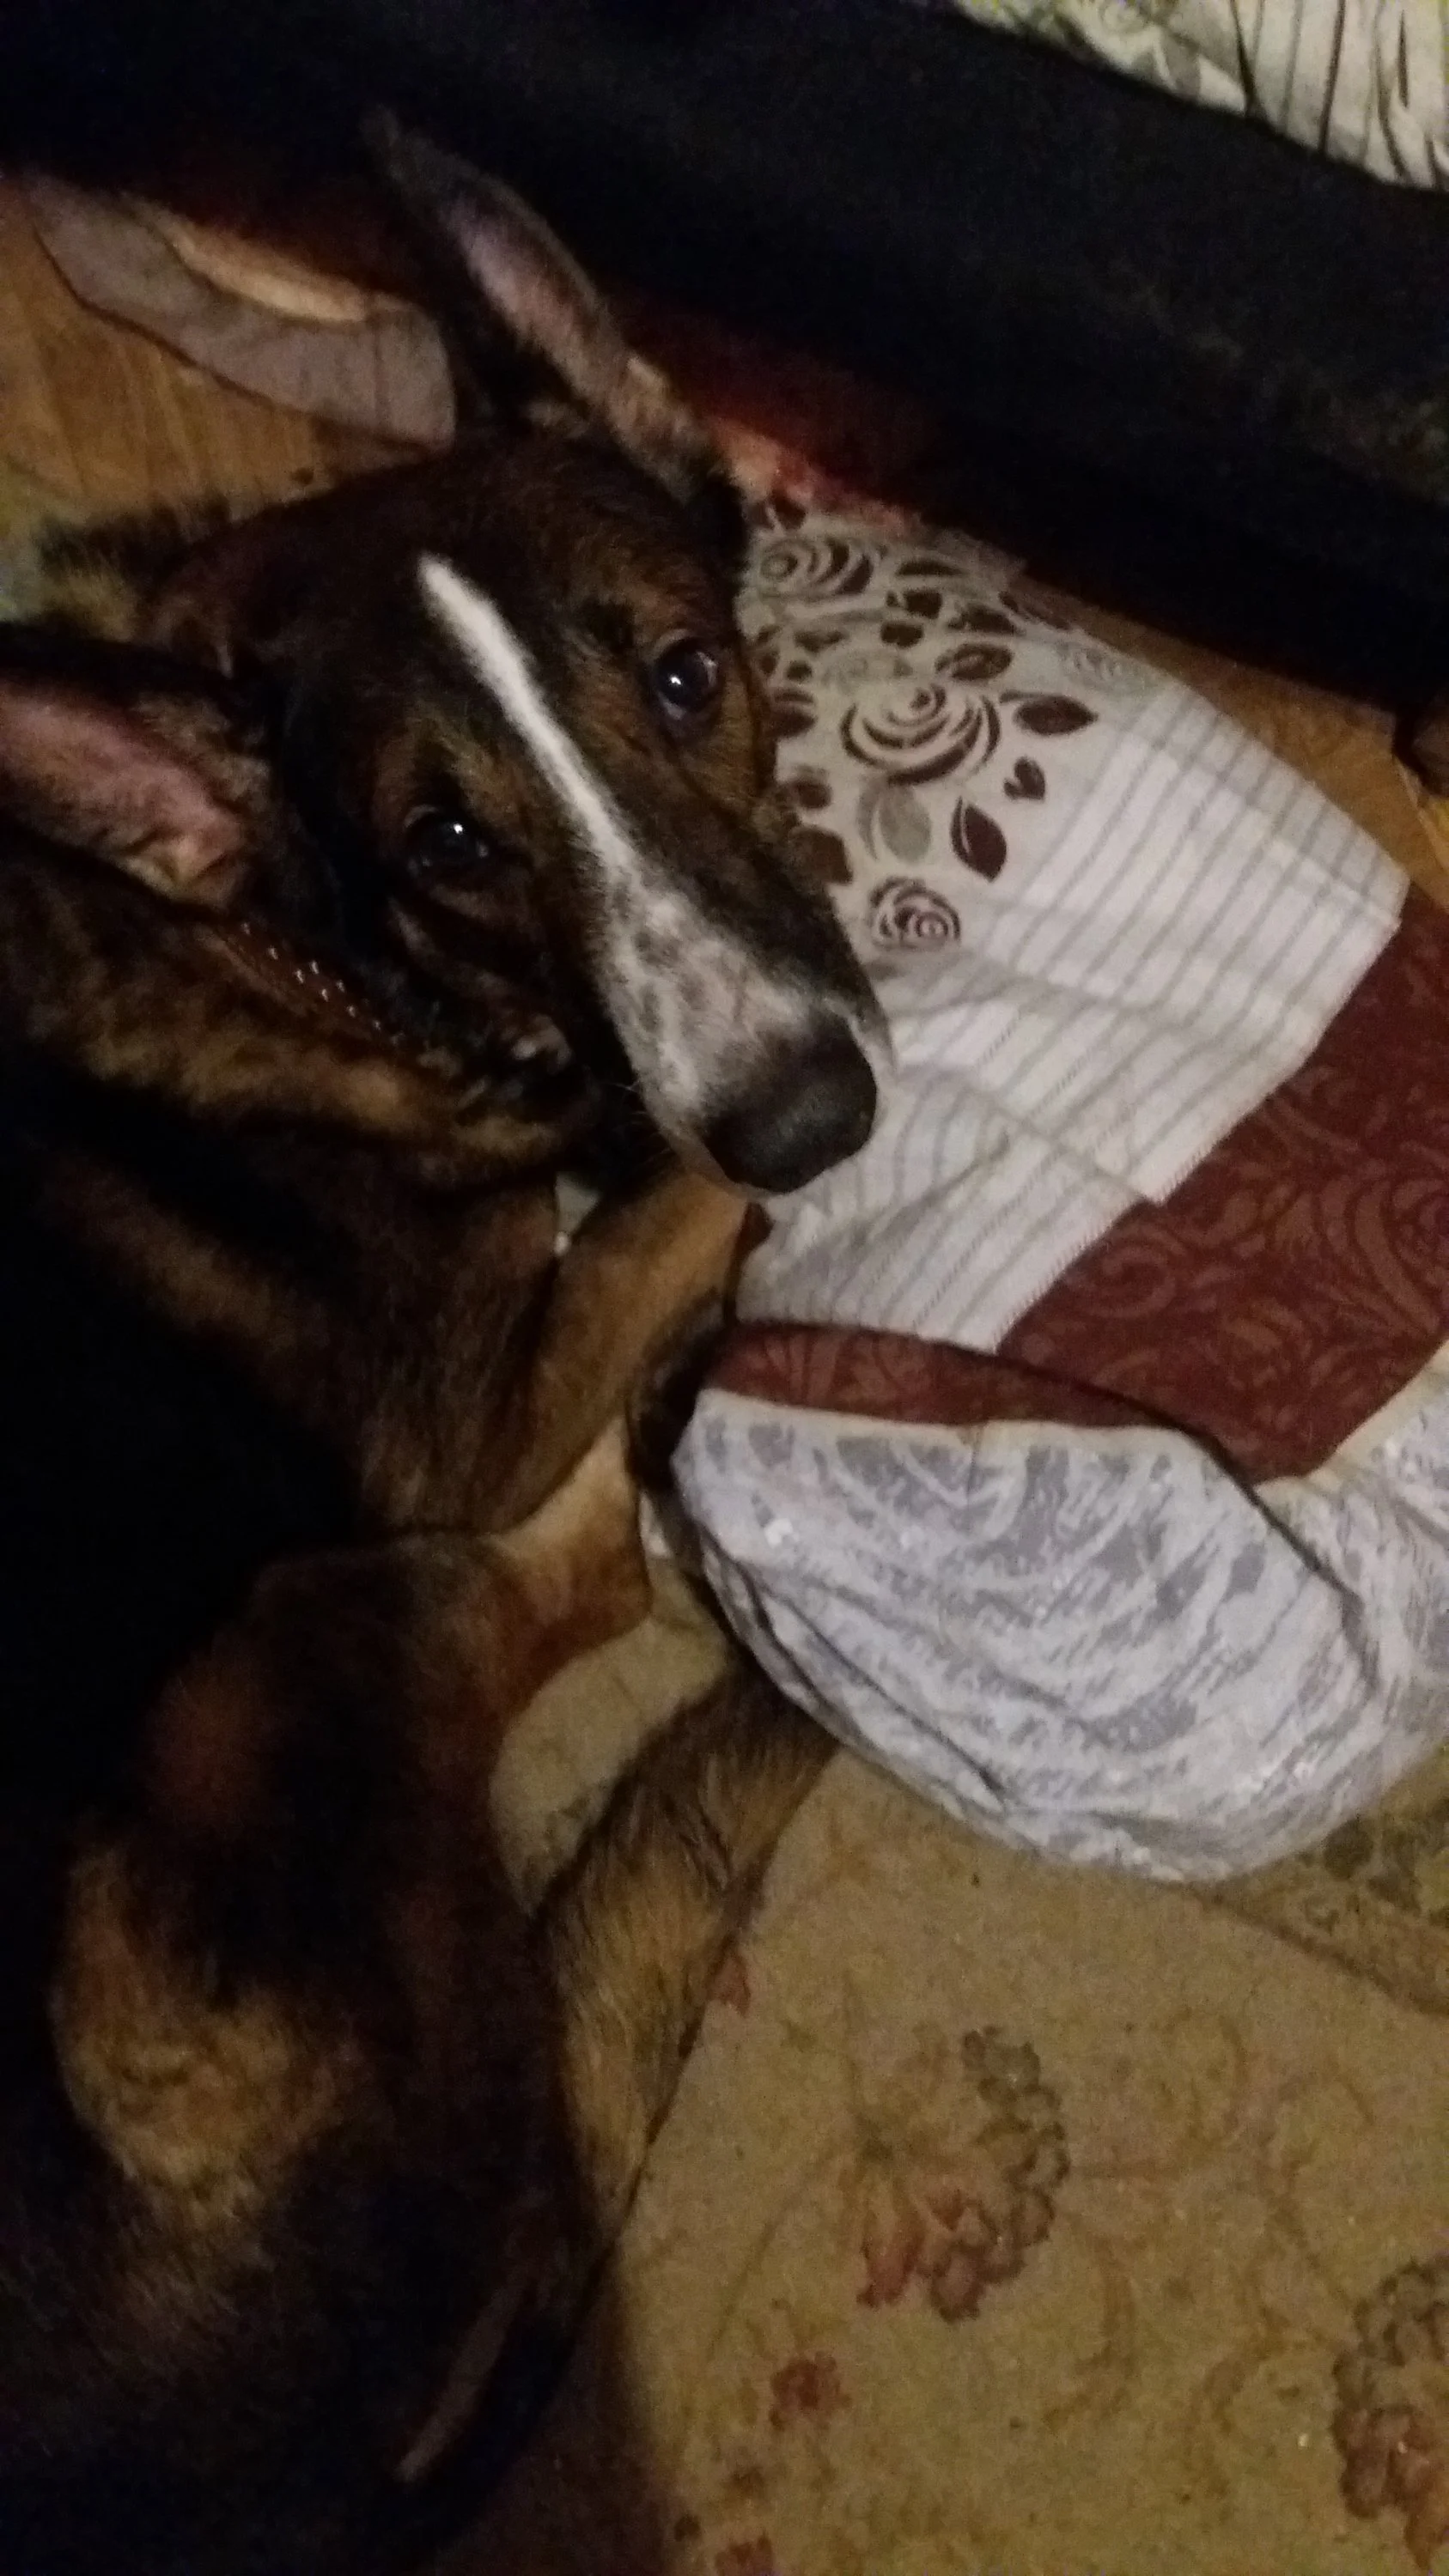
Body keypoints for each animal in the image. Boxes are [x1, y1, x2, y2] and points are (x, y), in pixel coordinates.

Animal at [0, 126, 874, 2572]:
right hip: (282, 1644)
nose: (817, 1116)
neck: (292, 943)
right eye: (452, 839)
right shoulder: (475, 1393)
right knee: (553, 1587)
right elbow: (660, 1194)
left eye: (687, 674)